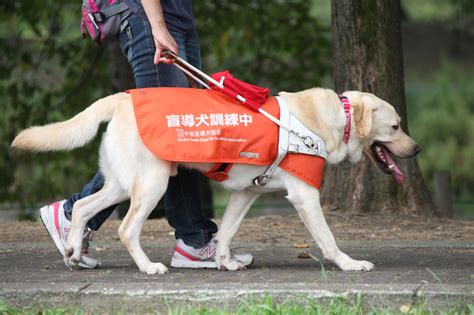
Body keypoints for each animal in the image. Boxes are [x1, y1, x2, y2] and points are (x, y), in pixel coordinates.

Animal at [11, 87, 420, 276]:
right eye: (396, 126)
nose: (416, 149)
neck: (338, 119)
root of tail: (123, 97)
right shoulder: (305, 195)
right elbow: (328, 239)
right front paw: (349, 264)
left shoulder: (245, 192)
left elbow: (226, 231)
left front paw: (225, 262)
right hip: (152, 183)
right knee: (126, 229)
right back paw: (147, 267)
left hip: (121, 184)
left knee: (81, 207)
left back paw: (73, 253)